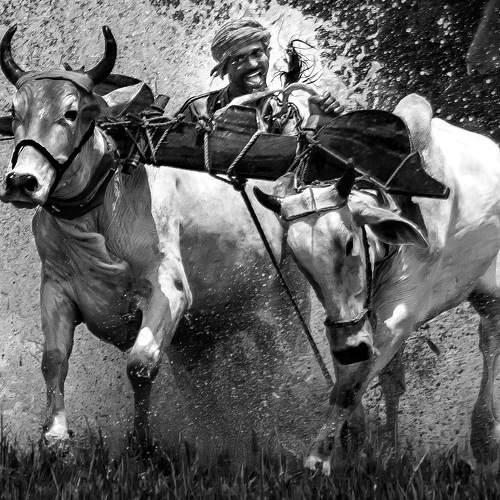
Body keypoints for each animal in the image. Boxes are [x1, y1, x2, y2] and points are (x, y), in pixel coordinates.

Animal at [0, 25, 310, 448]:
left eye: (72, 112)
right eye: (15, 112)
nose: (21, 181)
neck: (101, 208)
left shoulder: (169, 290)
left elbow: (141, 364)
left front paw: (142, 443)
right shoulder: (56, 289)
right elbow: (54, 360)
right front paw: (57, 434)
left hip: (284, 302)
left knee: (285, 359)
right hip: (202, 337)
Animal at [254, 93, 500, 474]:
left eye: (349, 243)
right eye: (297, 256)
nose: (351, 348)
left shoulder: (397, 316)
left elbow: (350, 388)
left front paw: (318, 459)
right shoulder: (352, 323)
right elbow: (358, 377)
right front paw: (359, 443)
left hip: (489, 292)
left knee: (489, 342)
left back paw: (485, 437)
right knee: (394, 379)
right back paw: (390, 448)